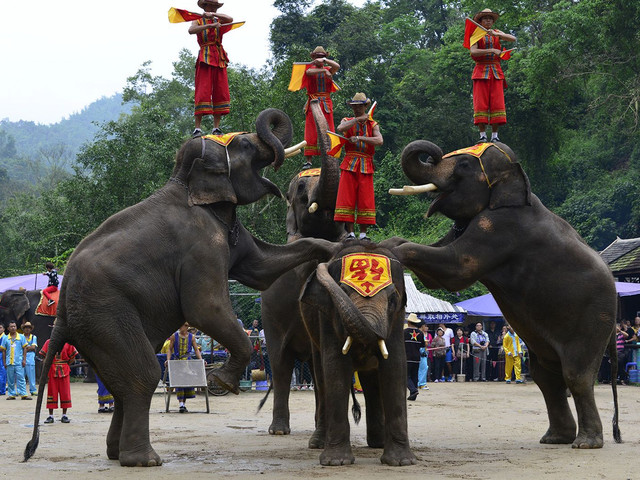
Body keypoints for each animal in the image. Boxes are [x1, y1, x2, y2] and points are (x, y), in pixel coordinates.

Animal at [22, 108, 338, 464]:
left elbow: (261, 268)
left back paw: (118, 453)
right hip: (103, 313)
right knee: (143, 373)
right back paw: (145, 460)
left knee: (122, 382)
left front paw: (335, 249)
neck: (185, 180)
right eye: (245, 145)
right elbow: (205, 307)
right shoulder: (200, 245)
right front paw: (219, 382)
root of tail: (61, 312)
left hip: (94, 328)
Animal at [260, 99, 348, 436]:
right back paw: (278, 430)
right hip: (269, 318)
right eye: (299, 190)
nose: (314, 101)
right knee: (281, 365)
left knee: (309, 364)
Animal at [298, 240, 416, 464]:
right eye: (342, 291)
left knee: (371, 382)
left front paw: (401, 462)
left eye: (393, 300)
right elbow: (335, 366)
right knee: (321, 378)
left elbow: (396, 365)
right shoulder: (327, 317)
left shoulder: (397, 320)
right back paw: (318, 443)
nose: (322, 266)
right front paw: (336, 462)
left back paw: (378, 443)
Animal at [388, 140, 624, 450]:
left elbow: (456, 267)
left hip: (593, 319)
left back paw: (585, 443)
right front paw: (382, 244)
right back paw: (554, 439)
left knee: (576, 375)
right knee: (547, 376)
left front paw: (388, 250)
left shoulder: (500, 227)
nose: (433, 154)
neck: (518, 182)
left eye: (464, 165)